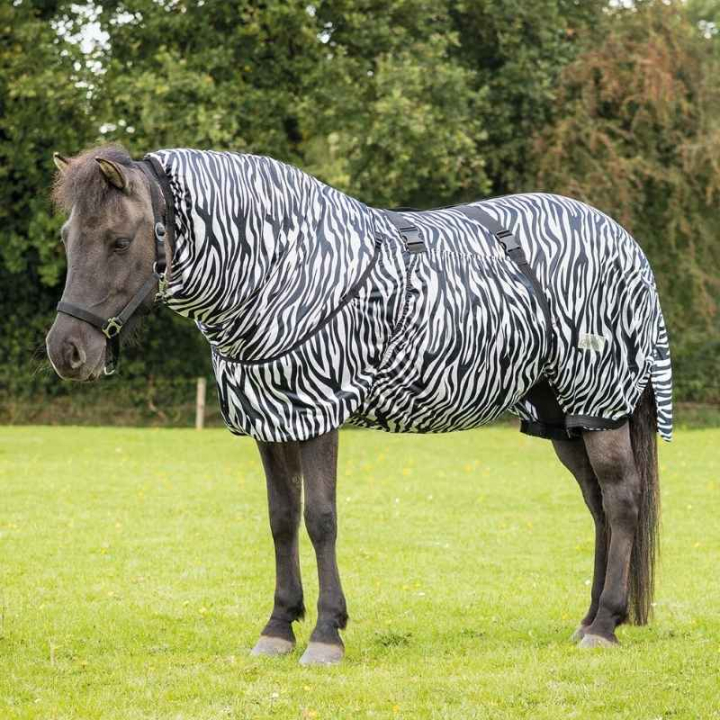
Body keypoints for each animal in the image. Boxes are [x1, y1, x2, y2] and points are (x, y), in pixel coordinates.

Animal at [46, 144, 672, 665]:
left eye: (119, 241)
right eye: (68, 238)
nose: (67, 351)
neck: (283, 268)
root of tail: (624, 242)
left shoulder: (319, 414)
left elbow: (320, 519)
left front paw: (326, 634)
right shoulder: (270, 421)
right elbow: (281, 520)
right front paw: (278, 627)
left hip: (601, 406)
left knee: (621, 501)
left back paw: (605, 625)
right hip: (563, 420)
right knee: (597, 506)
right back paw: (588, 619)